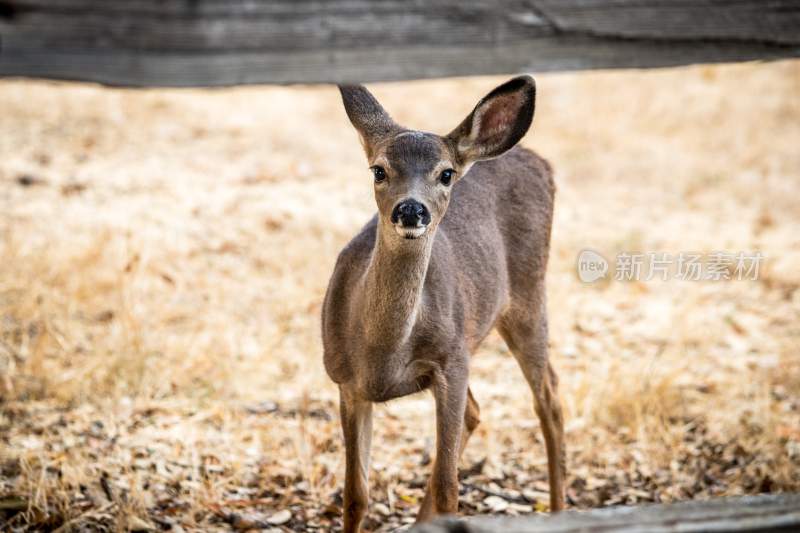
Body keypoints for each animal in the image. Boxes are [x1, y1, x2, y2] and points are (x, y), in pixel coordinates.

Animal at [322, 74, 564, 528]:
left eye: (446, 174)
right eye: (379, 170)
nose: (411, 210)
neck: (380, 354)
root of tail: (539, 160)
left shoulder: (451, 362)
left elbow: (450, 487)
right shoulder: (346, 382)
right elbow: (356, 495)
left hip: (528, 295)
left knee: (550, 401)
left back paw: (560, 510)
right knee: (478, 412)